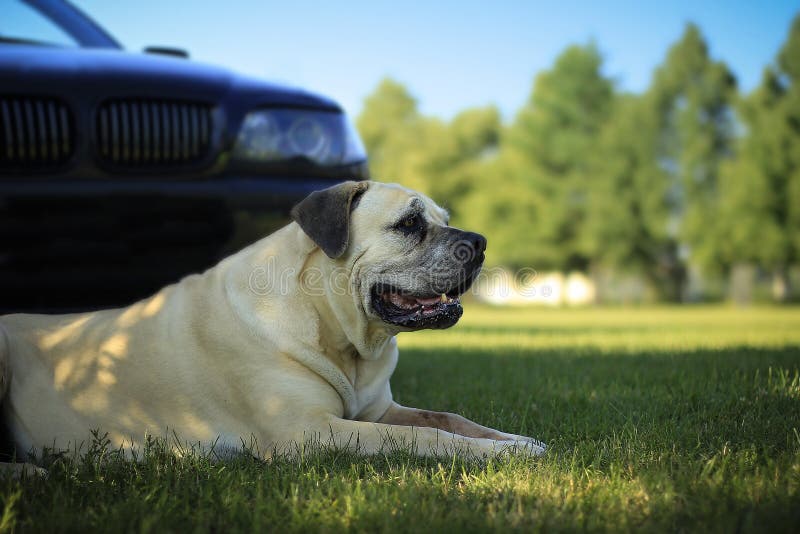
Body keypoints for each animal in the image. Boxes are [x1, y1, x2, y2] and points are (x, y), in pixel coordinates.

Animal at [0, 181, 544, 468]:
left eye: (443, 219)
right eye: (409, 224)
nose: (480, 243)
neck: (339, 335)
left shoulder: (379, 411)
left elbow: (449, 419)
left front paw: (516, 442)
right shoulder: (307, 431)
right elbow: (426, 439)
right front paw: (495, 454)